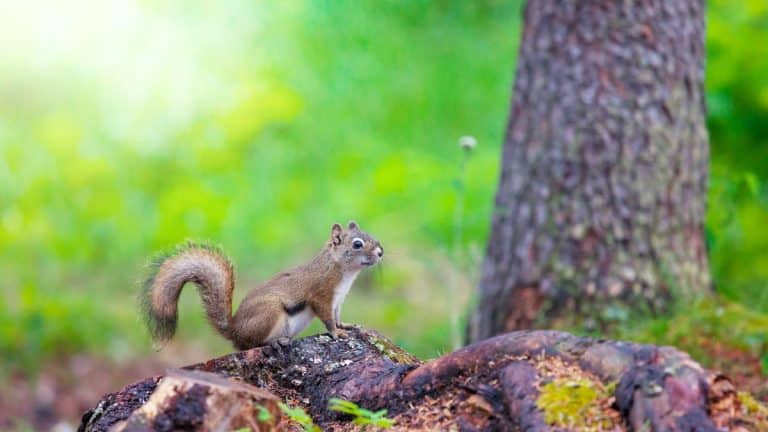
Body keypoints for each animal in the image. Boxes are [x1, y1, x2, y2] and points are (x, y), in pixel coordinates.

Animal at [139, 221, 384, 350]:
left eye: (370, 234)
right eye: (357, 244)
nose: (381, 252)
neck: (342, 270)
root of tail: (235, 331)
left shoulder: (338, 301)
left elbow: (338, 316)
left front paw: (346, 326)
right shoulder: (321, 295)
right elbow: (327, 318)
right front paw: (336, 333)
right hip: (269, 312)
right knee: (252, 344)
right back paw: (276, 342)